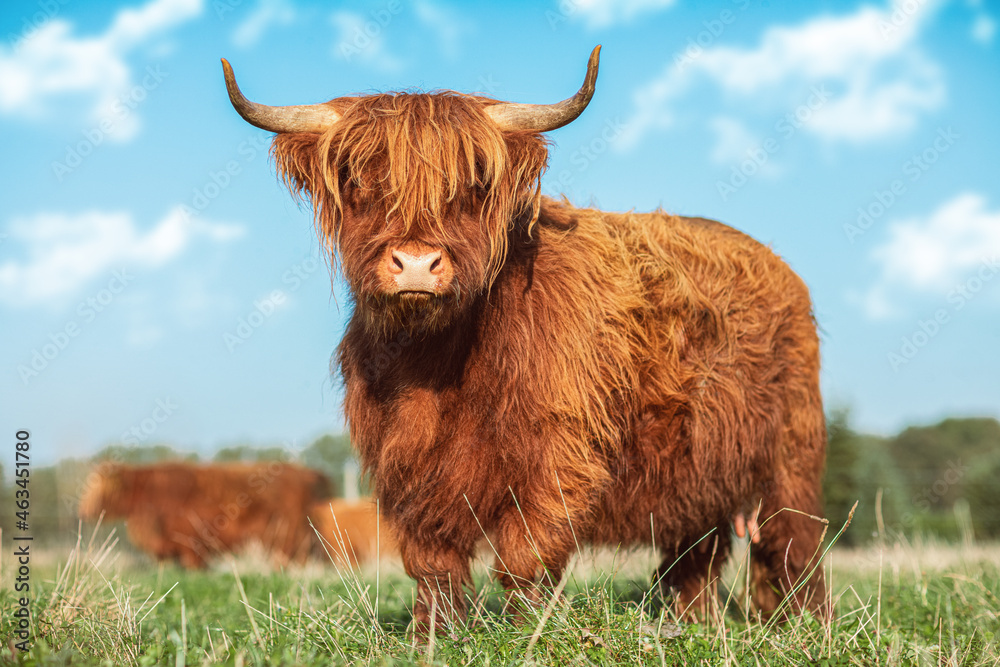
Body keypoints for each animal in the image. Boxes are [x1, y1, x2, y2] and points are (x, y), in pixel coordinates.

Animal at [225, 45, 828, 636]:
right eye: (357, 179)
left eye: (473, 184)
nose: (416, 264)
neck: (438, 365)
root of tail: (778, 264)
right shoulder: (405, 460)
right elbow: (431, 559)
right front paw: (433, 634)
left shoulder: (559, 450)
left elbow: (526, 552)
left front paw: (526, 631)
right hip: (701, 472)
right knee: (695, 552)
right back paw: (691, 624)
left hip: (793, 453)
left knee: (793, 542)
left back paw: (802, 625)